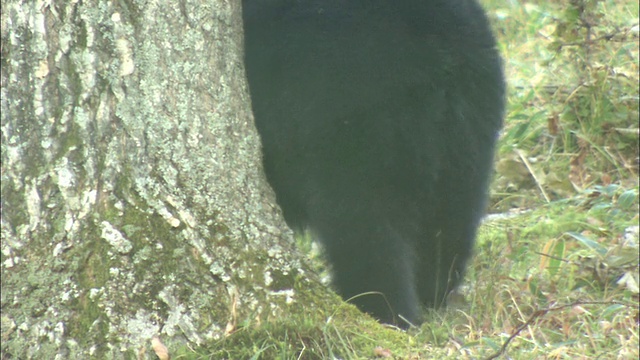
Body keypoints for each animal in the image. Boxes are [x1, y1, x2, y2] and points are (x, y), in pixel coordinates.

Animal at [242, 0, 502, 328]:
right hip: (469, 133)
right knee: (451, 221)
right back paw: (433, 295)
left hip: (357, 125)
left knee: (367, 228)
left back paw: (382, 310)